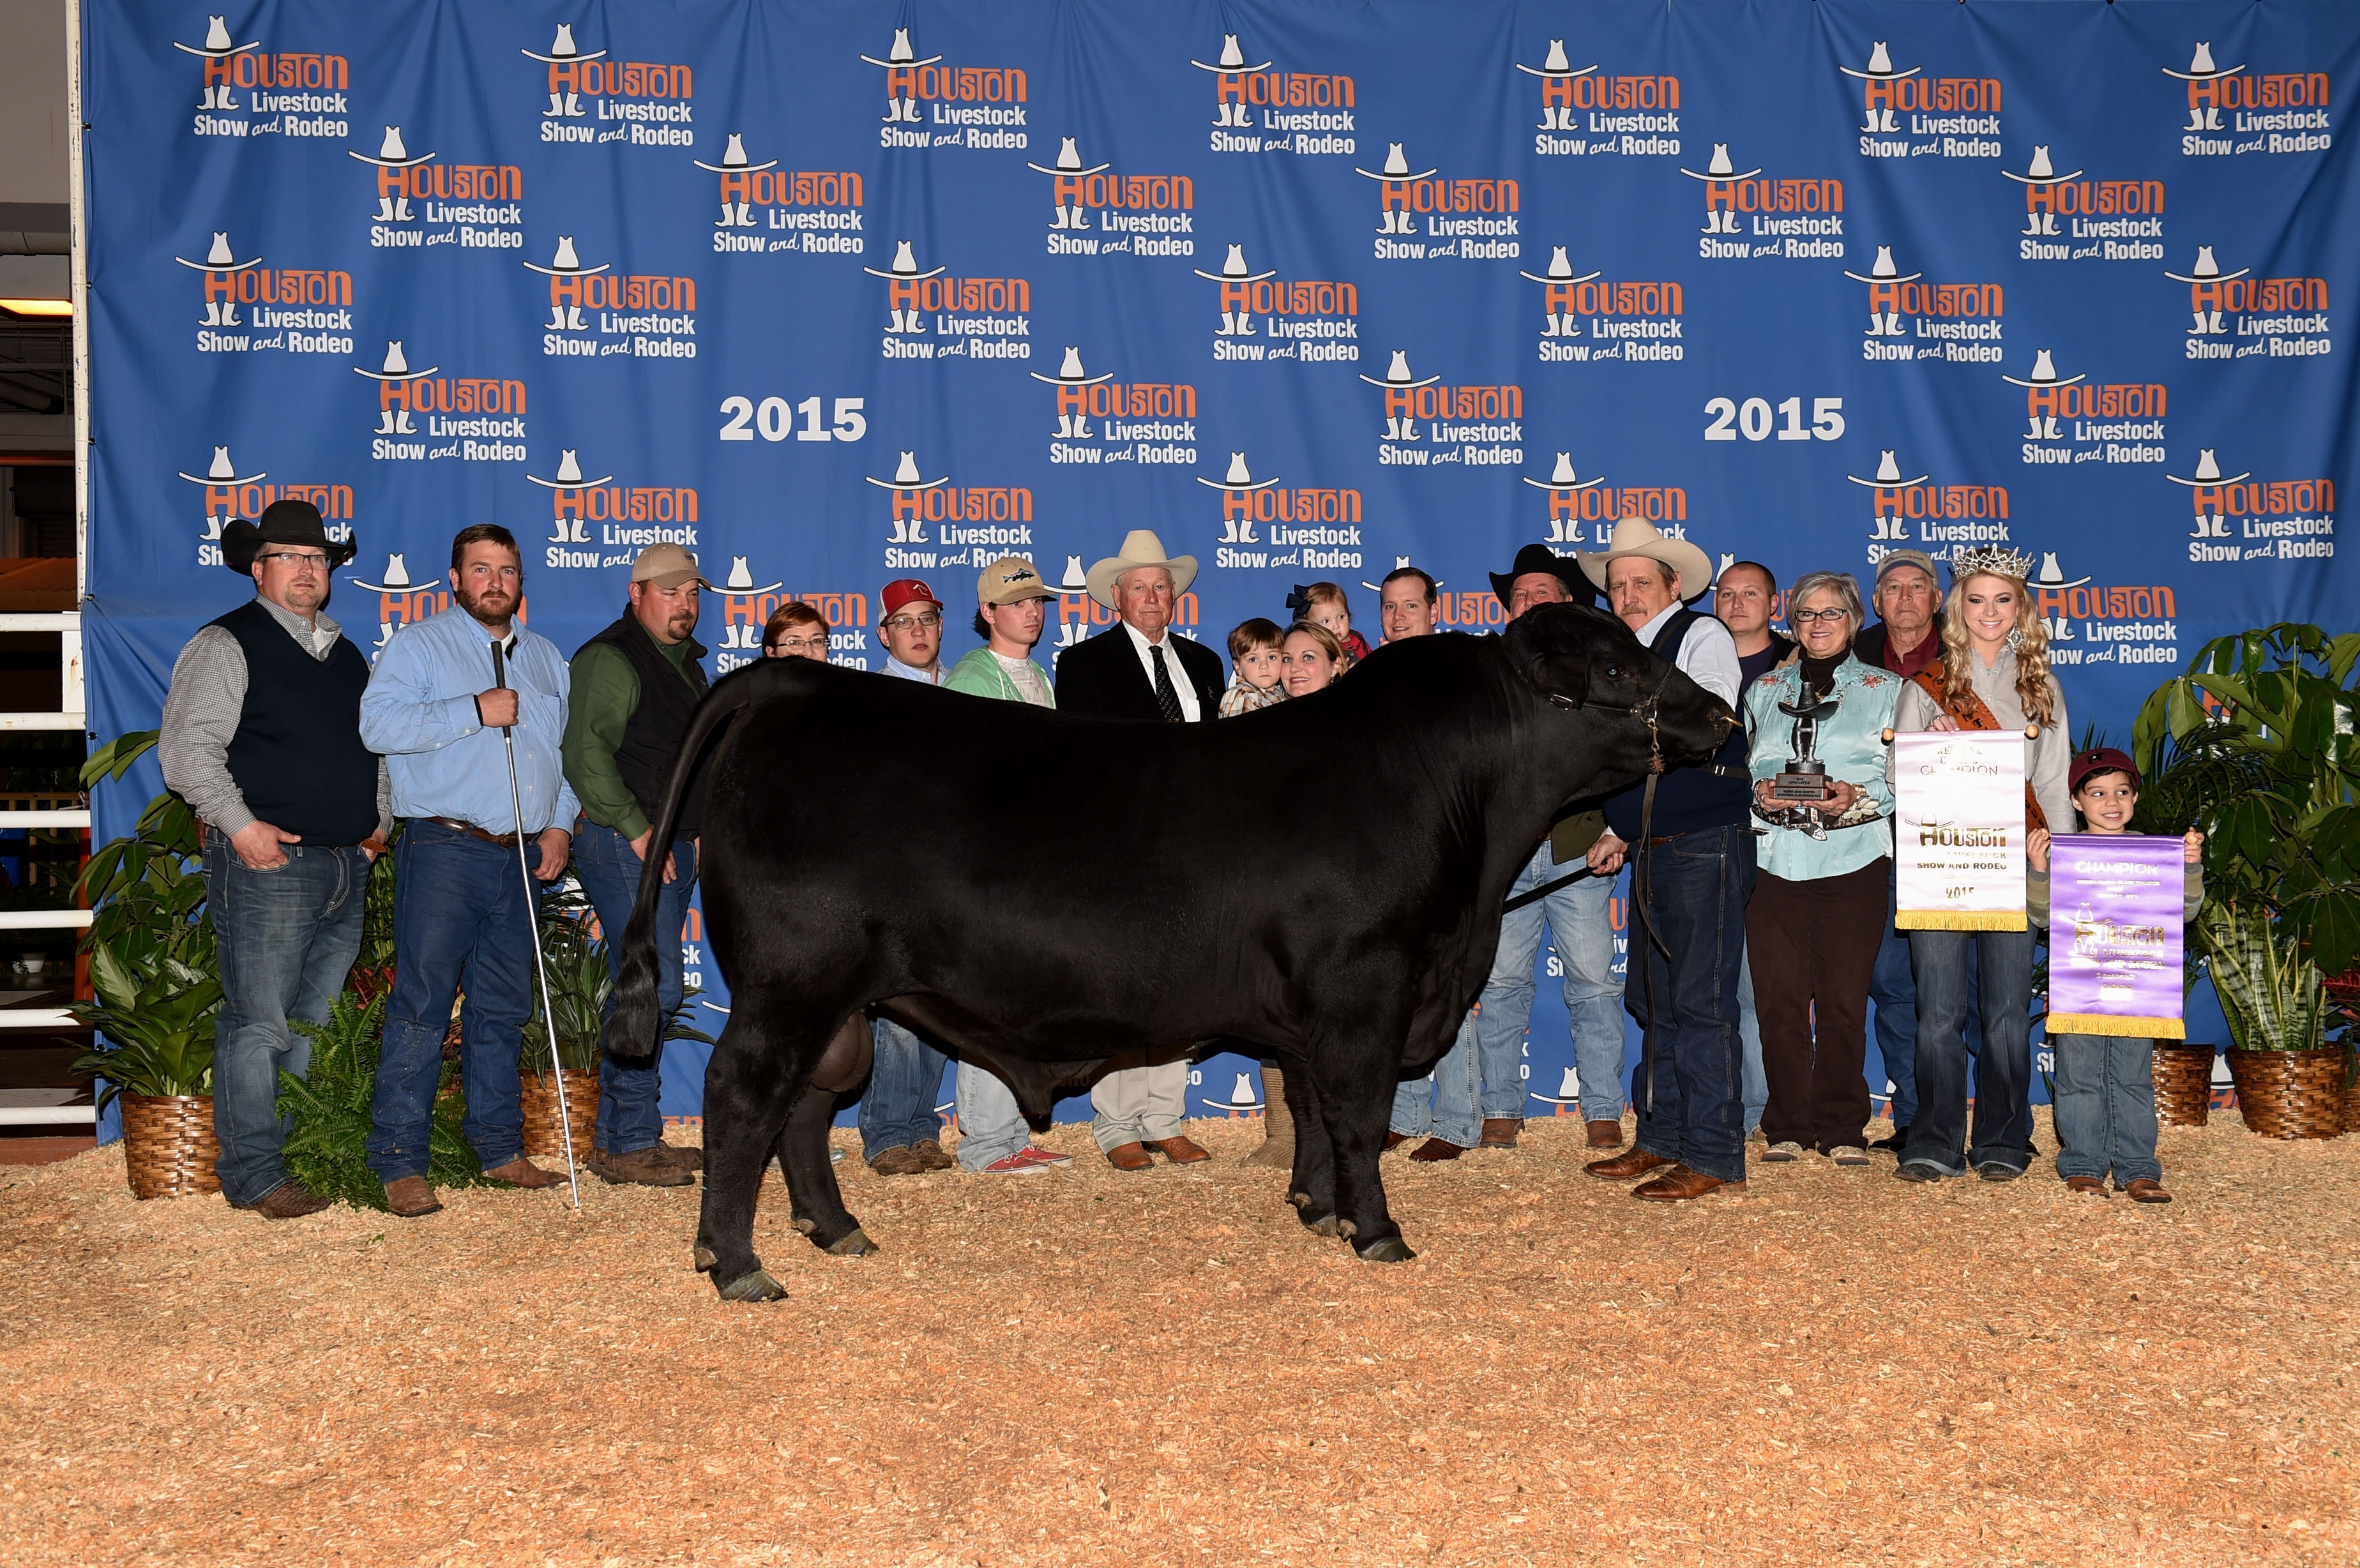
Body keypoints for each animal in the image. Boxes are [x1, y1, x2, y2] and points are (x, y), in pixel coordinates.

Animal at [609, 603, 1733, 1301]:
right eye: (1621, 667)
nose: (1722, 715)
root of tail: (792, 681)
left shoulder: (1316, 1010)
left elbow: (1314, 1110)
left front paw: (1315, 1209)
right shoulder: (1366, 989)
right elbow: (1359, 1116)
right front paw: (1378, 1232)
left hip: (837, 1000)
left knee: (804, 1107)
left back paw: (835, 1228)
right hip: (789, 985)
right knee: (744, 1097)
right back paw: (738, 1262)